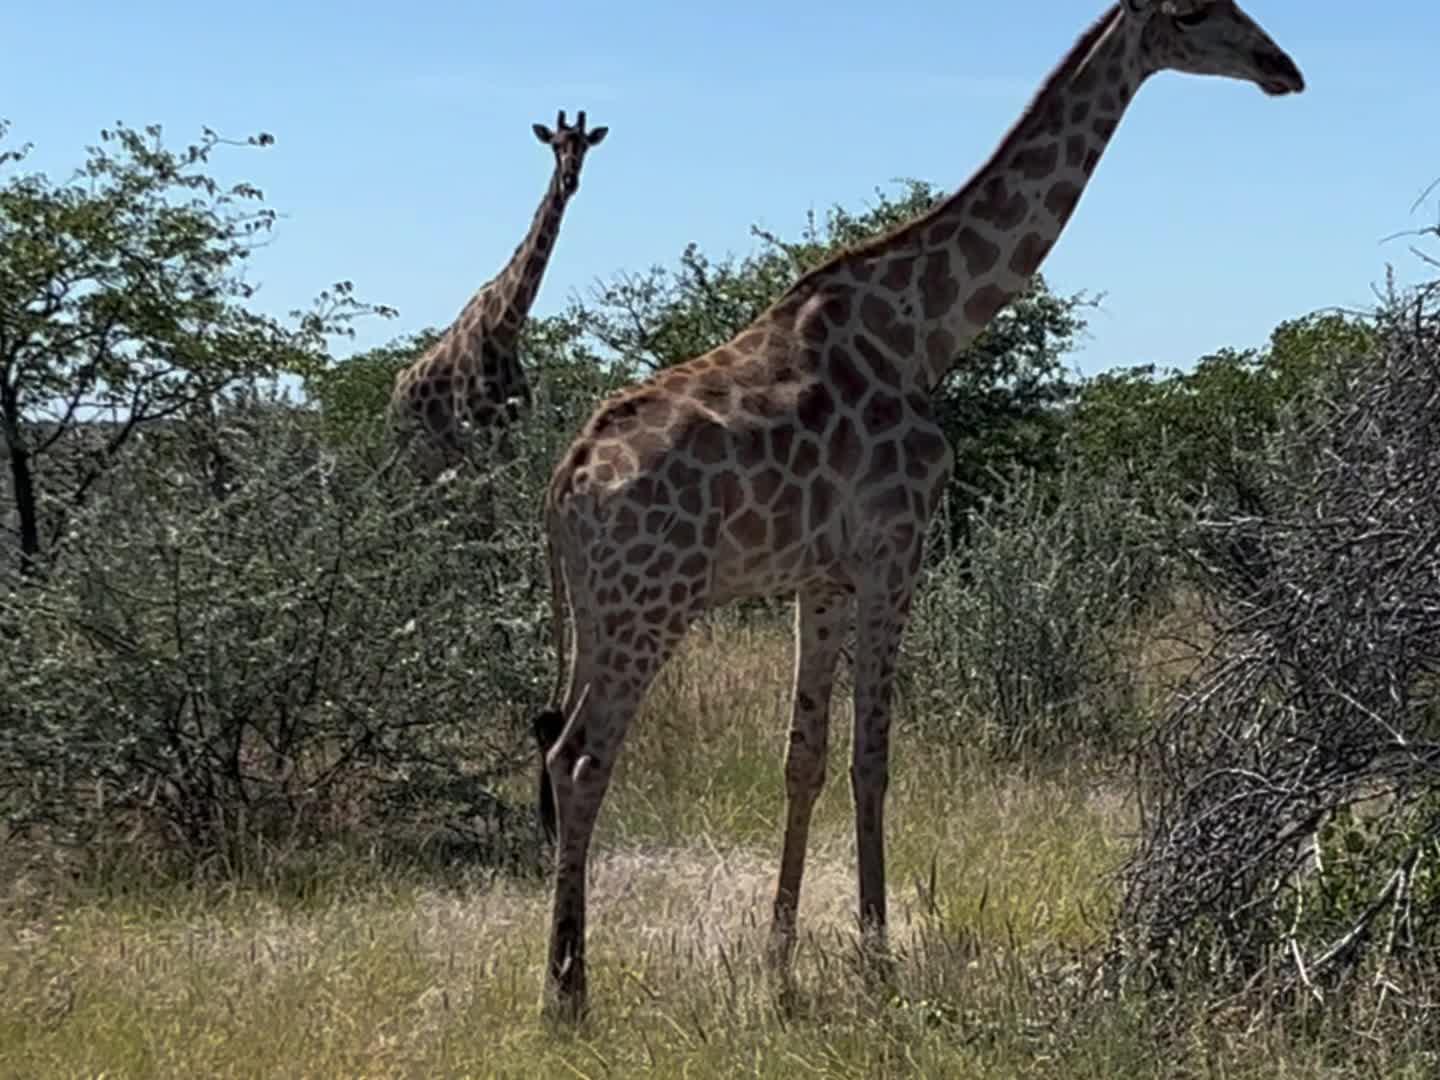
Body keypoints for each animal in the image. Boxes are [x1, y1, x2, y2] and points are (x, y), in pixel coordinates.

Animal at [385, 112, 604, 480]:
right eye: (555, 145)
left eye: (585, 146)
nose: (569, 180)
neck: (503, 328)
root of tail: (394, 394)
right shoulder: (475, 425)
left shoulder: (512, 423)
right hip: (414, 443)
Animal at [529, 0, 1307, 1019]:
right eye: (1193, 14)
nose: (1281, 66)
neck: (923, 331)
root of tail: (565, 481)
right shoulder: (898, 548)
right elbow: (875, 758)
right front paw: (876, 954)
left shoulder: (821, 575)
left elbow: (804, 757)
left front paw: (781, 965)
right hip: (651, 607)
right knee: (583, 758)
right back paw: (569, 996)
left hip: (595, 610)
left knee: (555, 748)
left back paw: (565, 978)